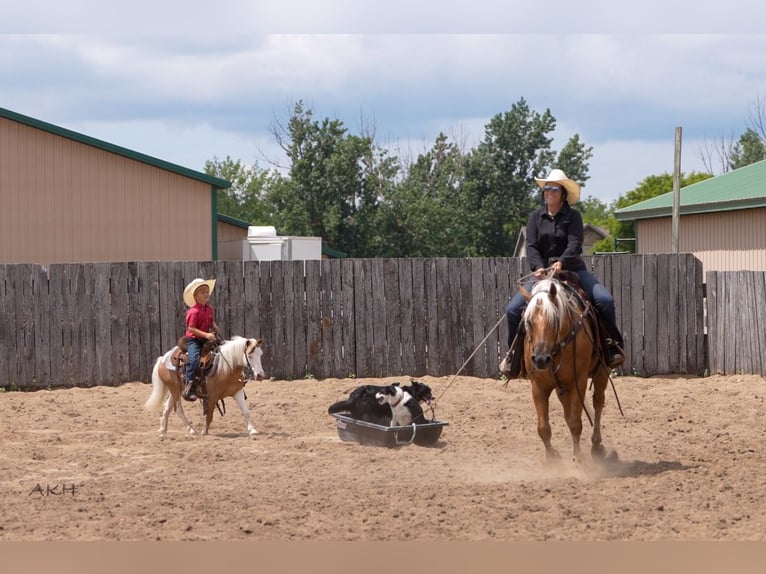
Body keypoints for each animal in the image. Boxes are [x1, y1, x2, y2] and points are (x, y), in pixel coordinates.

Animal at [520, 277, 611, 463]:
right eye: (529, 322)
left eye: (554, 321)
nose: (540, 359)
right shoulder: (538, 386)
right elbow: (544, 428)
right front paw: (551, 458)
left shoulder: (579, 381)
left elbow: (576, 423)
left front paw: (578, 459)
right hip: (562, 388)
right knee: (568, 412)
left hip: (601, 372)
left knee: (598, 402)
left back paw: (596, 446)